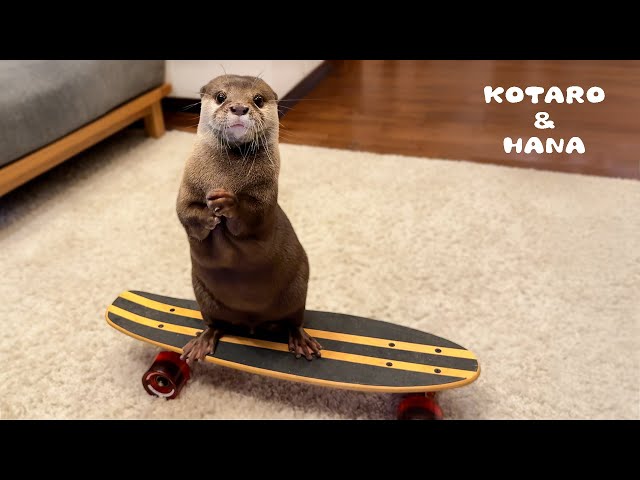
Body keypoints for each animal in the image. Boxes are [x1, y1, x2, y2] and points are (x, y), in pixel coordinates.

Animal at [176, 74, 322, 364]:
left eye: (258, 99)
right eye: (221, 96)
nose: (239, 108)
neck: (224, 176)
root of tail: (251, 323)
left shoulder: (266, 195)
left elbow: (254, 216)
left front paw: (227, 203)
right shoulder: (187, 186)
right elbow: (185, 212)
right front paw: (208, 215)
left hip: (297, 291)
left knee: (294, 321)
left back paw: (301, 340)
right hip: (204, 297)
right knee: (215, 324)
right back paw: (202, 342)